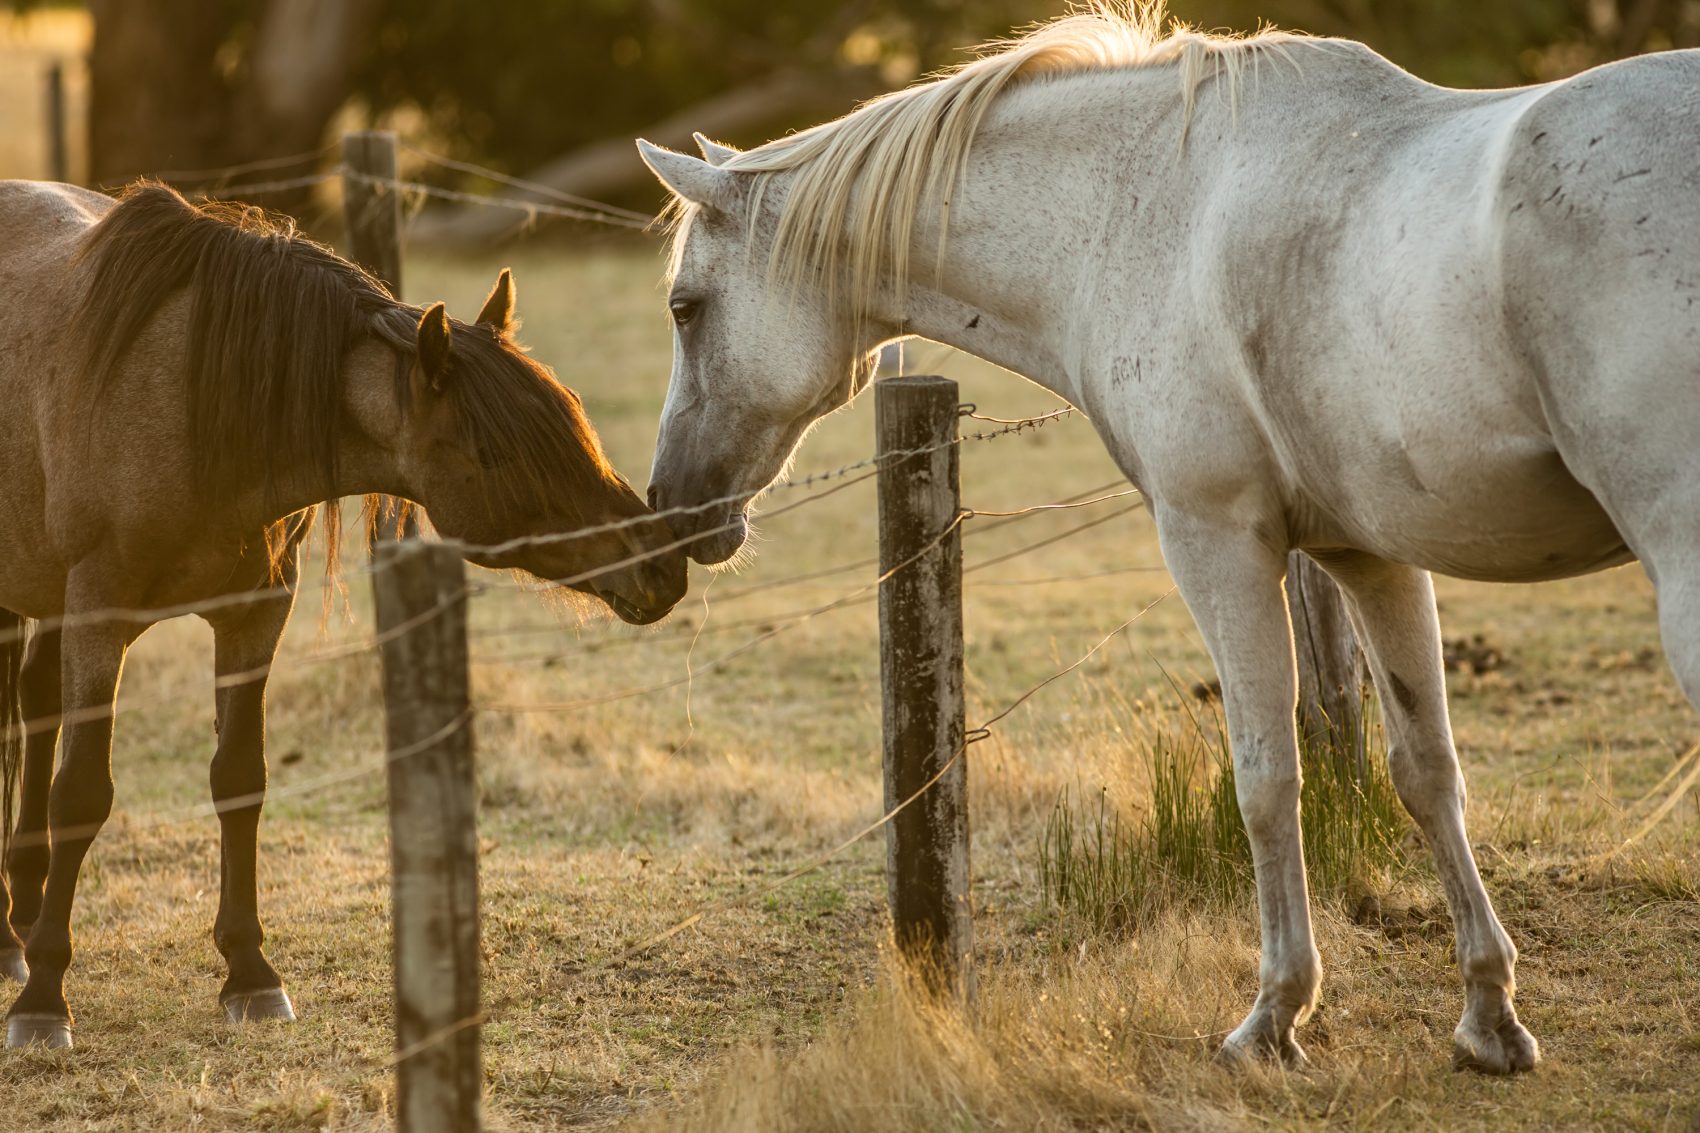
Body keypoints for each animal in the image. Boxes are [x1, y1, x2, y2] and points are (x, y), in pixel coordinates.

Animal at [1, 182, 690, 1041]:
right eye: (502, 454)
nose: (663, 563)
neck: (191, 404)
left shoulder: (254, 614)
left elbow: (240, 777)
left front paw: (250, 972)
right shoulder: (99, 615)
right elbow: (82, 794)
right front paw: (43, 996)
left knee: (33, 703)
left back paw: (20, 912)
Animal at [639, 4, 1700, 1075]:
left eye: (686, 308)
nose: (671, 510)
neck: (1144, 209)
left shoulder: (1214, 540)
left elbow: (1267, 778)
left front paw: (1274, 1016)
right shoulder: (1370, 556)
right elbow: (1426, 771)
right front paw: (1489, 1016)